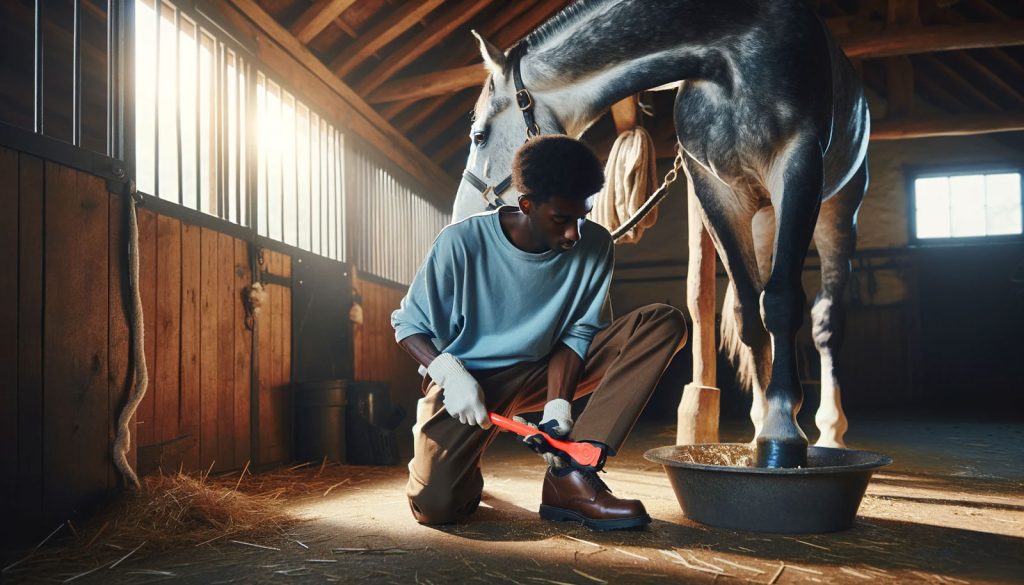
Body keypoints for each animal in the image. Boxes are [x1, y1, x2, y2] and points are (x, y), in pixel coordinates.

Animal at [452, 0, 868, 467]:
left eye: (479, 135)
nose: (459, 218)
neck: (729, 50)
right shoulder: (715, 191)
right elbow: (749, 313)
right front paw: (764, 430)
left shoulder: (798, 163)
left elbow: (780, 303)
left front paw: (782, 435)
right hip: (763, 220)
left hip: (838, 205)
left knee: (825, 319)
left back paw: (831, 431)